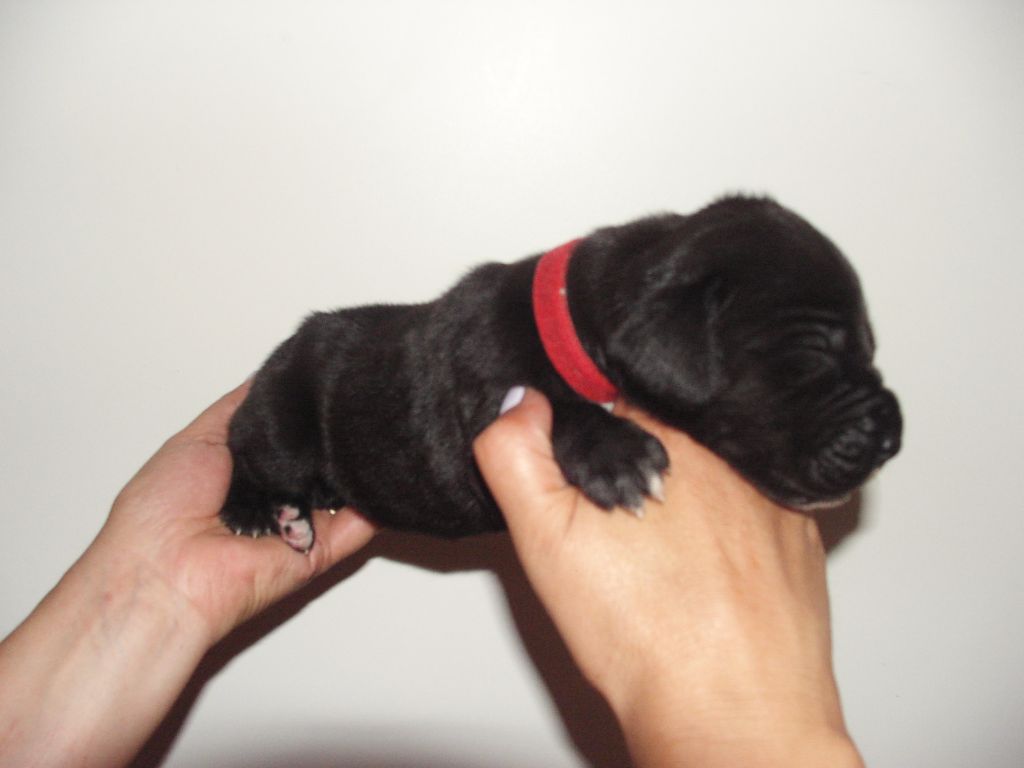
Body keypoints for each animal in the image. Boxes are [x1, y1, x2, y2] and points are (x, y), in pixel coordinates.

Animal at [220, 195, 901, 548]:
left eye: (871, 347)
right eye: (808, 360)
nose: (892, 438)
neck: (578, 317)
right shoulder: (478, 406)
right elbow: (557, 407)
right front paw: (617, 455)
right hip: (279, 416)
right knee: (245, 451)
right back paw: (259, 512)